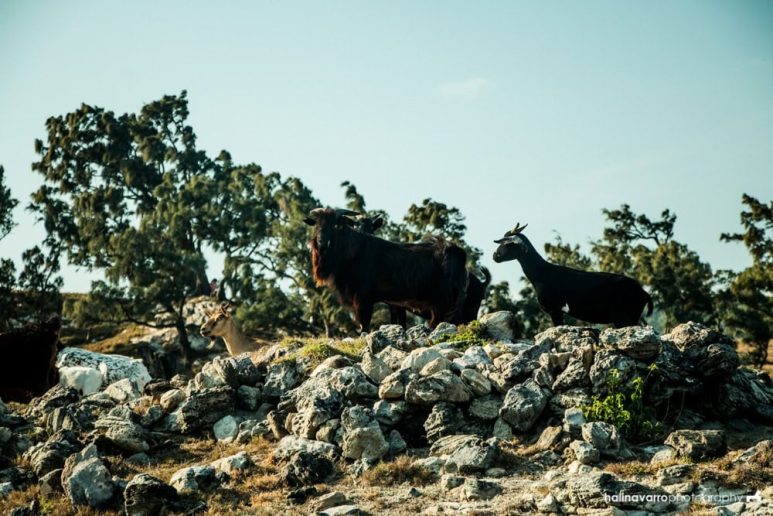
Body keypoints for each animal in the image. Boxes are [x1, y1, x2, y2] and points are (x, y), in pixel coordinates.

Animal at [305, 208, 468, 332]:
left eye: (334, 225)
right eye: (316, 225)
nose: (322, 243)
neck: (354, 251)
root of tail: (455, 252)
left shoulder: (363, 299)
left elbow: (364, 326)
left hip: (444, 302)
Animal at [493, 223, 653, 328]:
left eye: (507, 243)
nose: (495, 256)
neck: (543, 273)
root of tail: (643, 292)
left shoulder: (555, 310)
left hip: (623, 317)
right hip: (633, 317)